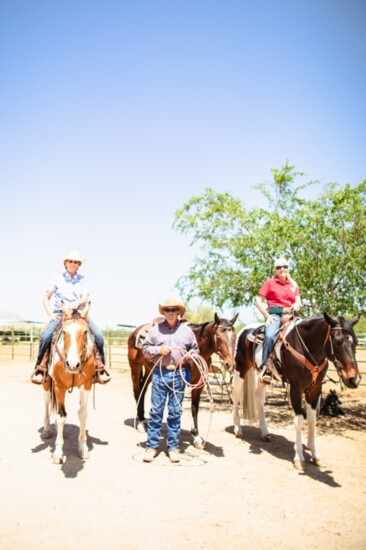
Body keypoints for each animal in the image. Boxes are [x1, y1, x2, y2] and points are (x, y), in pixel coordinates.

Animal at [41, 304, 97, 464]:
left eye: (85, 332)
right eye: (64, 332)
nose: (72, 364)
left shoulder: (86, 385)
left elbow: (82, 414)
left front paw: (83, 448)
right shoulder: (59, 386)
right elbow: (61, 417)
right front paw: (58, 453)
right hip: (47, 382)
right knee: (47, 401)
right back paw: (46, 430)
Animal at [127, 314, 239, 448]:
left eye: (235, 337)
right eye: (218, 337)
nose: (230, 364)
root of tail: (135, 332)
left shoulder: (199, 383)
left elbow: (195, 407)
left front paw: (196, 436)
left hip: (150, 371)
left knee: (142, 391)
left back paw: (143, 420)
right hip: (135, 368)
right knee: (137, 391)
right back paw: (140, 423)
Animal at [233, 314, 362, 470]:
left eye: (356, 342)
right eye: (337, 341)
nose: (354, 379)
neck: (306, 347)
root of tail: (245, 330)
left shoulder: (315, 389)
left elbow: (312, 419)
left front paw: (315, 454)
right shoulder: (296, 388)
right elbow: (299, 420)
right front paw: (299, 457)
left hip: (264, 378)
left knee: (258, 398)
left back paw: (265, 433)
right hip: (240, 369)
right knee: (236, 395)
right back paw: (237, 429)